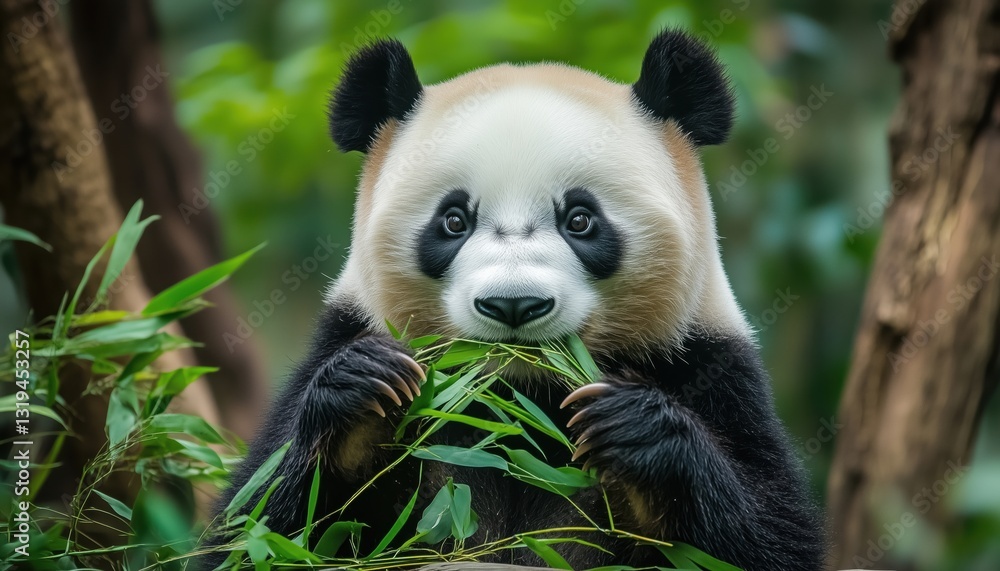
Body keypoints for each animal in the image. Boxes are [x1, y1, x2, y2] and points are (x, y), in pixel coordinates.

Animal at [209, 29, 824, 570]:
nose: (513, 305)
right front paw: (365, 393)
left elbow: (771, 532)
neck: (520, 391)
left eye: (581, 219)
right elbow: (255, 524)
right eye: (453, 221)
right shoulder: (346, 331)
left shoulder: (707, 363)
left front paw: (633, 426)